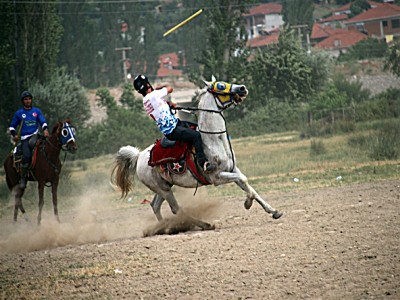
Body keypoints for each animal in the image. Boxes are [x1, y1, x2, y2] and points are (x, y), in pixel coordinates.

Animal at [111, 78, 282, 232]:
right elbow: (244, 181)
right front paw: (247, 203)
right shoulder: (217, 178)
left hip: (163, 186)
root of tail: (139, 156)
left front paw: (273, 211)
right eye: (220, 85)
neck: (214, 140)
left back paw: (164, 227)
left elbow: (247, 184)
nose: (242, 88)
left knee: (155, 205)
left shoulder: (233, 170)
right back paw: (203, 225)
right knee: (175, 209)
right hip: (163, 189)